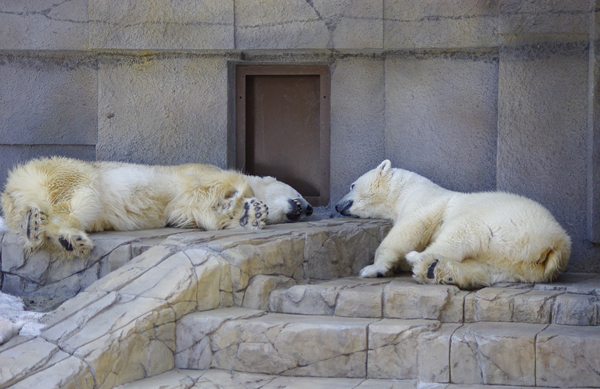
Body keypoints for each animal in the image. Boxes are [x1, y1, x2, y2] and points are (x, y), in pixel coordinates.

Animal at [2, 155, 314, 258]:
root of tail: (14, 182)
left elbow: (191, 214)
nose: (309, 209)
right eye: (299, 192)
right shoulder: (199, 173)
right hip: (71, 172)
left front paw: (250, 215)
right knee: (82, 196)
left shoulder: (182, 208)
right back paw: (68, 236)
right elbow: (216, 185)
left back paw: (43, 231)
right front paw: (244, 204)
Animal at [338, 158, 572, 288]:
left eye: (352, 185)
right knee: (488, 268)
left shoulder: (424, 201)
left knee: (461, 233)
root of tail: (558, 242)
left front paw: (373, 268)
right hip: (524, 264)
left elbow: (409, 229)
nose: (336, 205)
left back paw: (419, 260)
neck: (404, 190)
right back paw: (435, 271)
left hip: (504, 222)